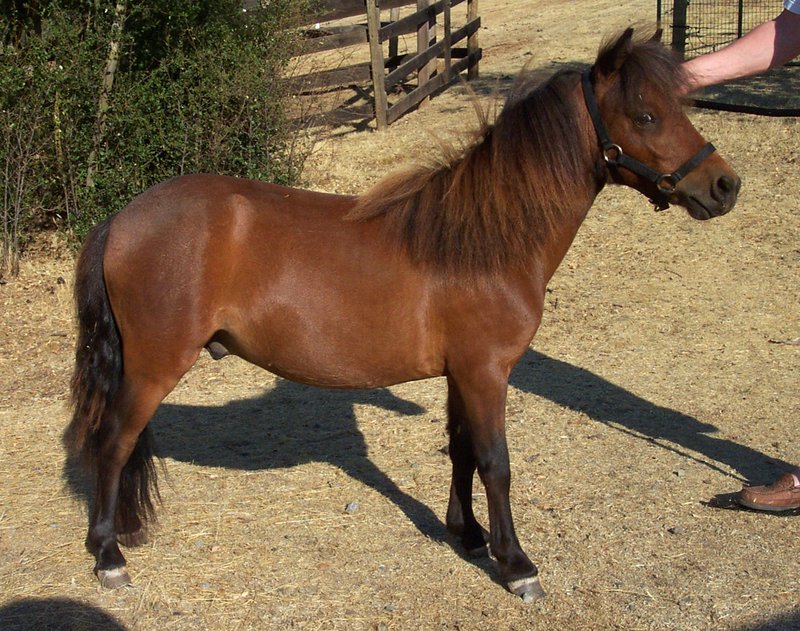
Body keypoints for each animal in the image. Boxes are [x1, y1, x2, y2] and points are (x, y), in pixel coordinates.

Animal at [65, 29, 740, 604]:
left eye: (677, 106)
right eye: (646, 116)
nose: (724, 185)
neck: (484, 239)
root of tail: (121, 220)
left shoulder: (461, 374)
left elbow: (462, 450)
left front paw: (467, 535)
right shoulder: (485, 372)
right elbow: (496, 463)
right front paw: (516, 564)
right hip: (152, 368)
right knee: (112, 442)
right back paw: (108, 557)